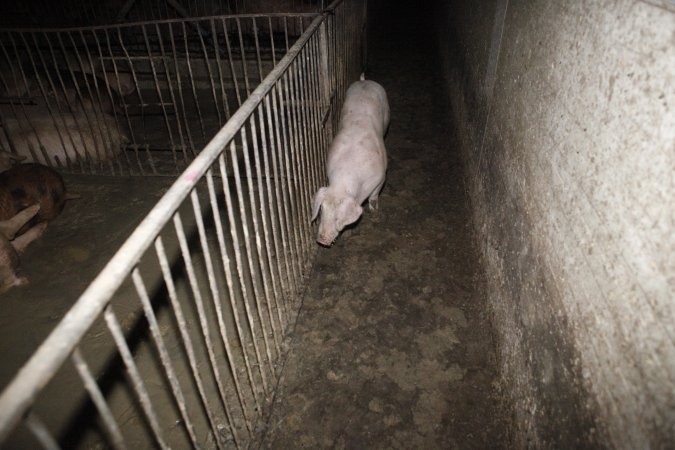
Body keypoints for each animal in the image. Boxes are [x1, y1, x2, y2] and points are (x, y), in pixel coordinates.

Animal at [312, 75, 390, 248]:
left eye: (337, 218)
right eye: (322, 212)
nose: (321, 240)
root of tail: (364, 81)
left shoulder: (381, 177)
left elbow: (374, 197)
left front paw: (375, 215)